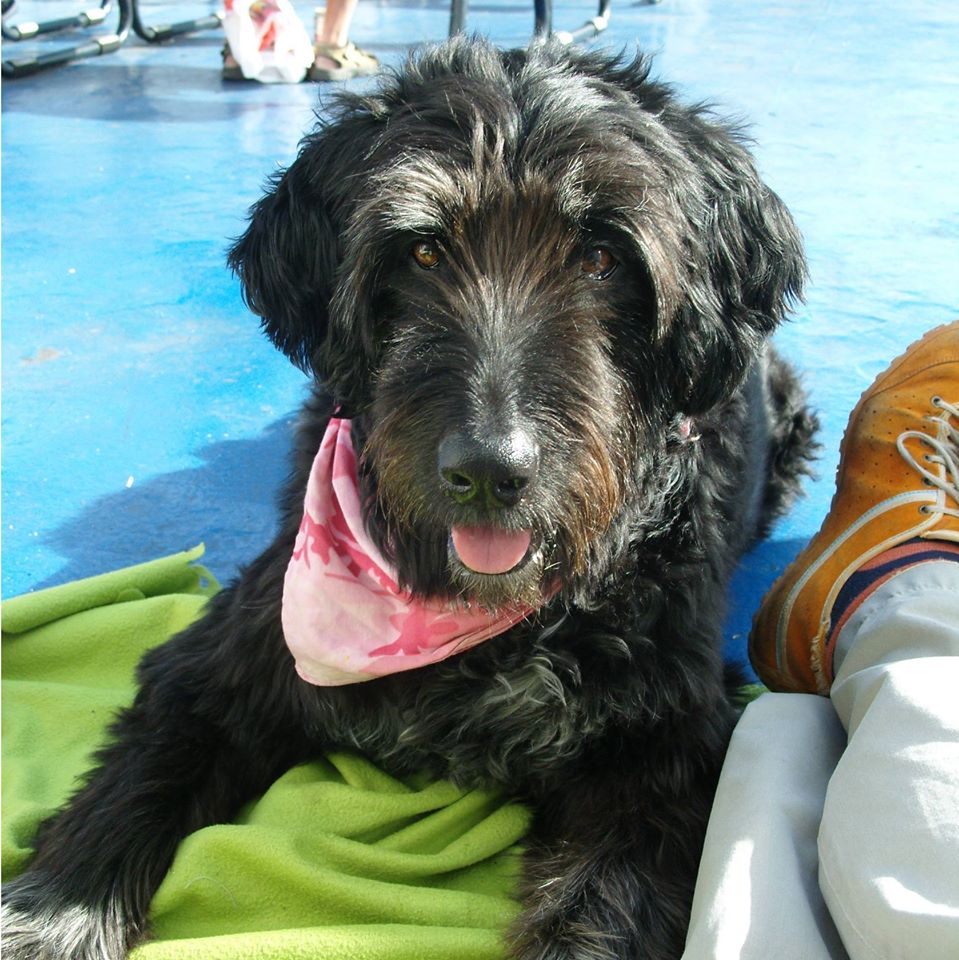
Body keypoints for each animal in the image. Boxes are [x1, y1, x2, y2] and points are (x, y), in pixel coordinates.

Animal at [5, 33, 816, 960]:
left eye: (602, 257)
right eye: (423, 252)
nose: (489, 471)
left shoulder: (663, 751)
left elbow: (600, 909)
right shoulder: (221, 662)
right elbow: (134, 782)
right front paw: (48, 920)